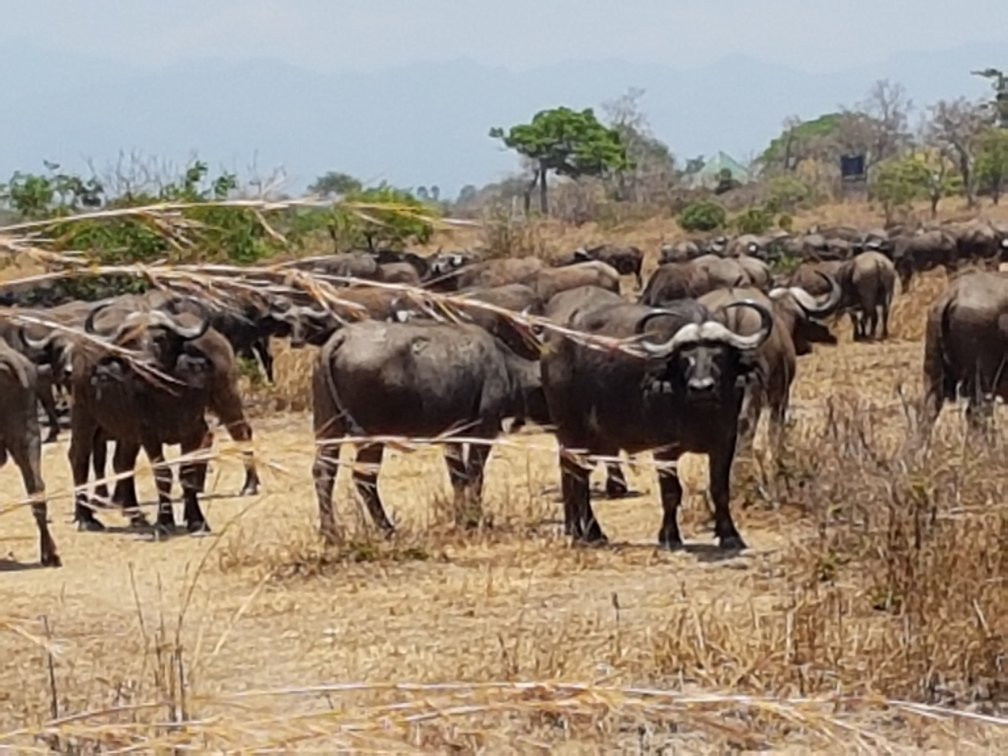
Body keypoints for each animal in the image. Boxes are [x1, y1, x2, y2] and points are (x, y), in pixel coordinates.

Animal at [312, 318, 548, 540]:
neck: (506, 368)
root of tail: (341, 337)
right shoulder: (484, 430)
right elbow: (475, 475)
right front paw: (476, 520)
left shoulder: (452, 437)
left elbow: (458, 477)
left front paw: (462, 520)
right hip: (373, 436)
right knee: (363, 477)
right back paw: (387, 528)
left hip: (329, 428)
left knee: (324, 472)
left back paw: (330, 533)